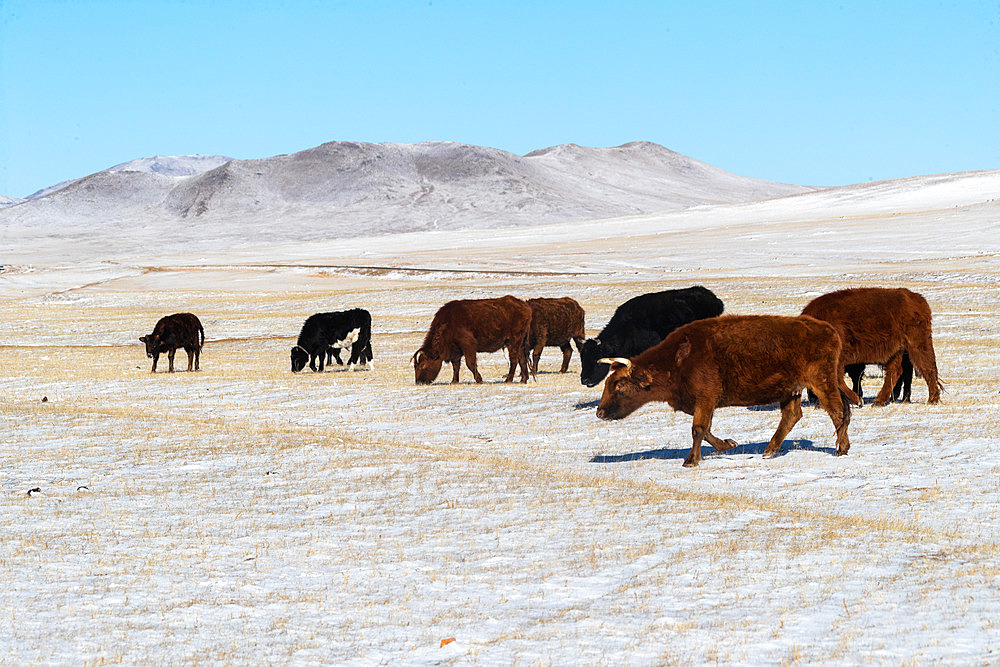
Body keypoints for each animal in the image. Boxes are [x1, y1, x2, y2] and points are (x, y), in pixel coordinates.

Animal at [596, 314, 856, 468]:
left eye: (619, 385)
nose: (600, 412)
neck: (679, 358)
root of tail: (828, 329)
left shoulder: (705, 398)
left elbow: (698, 429)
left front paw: (690, 461)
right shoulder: (704, 403)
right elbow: (706, 430)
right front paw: (729, 444)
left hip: (821, 383)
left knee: (837, 411)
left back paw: (841, 449)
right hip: (791, 390)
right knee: (793, 416)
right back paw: (769, 451)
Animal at [800, 288, 940, 408]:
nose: (811, 398)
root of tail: (918, 299)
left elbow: (839, 379)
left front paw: (858, 400)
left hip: (917, 344)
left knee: (927, 367)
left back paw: (932, 399)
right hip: (897, 351)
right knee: (896, 371)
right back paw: (881, 401)